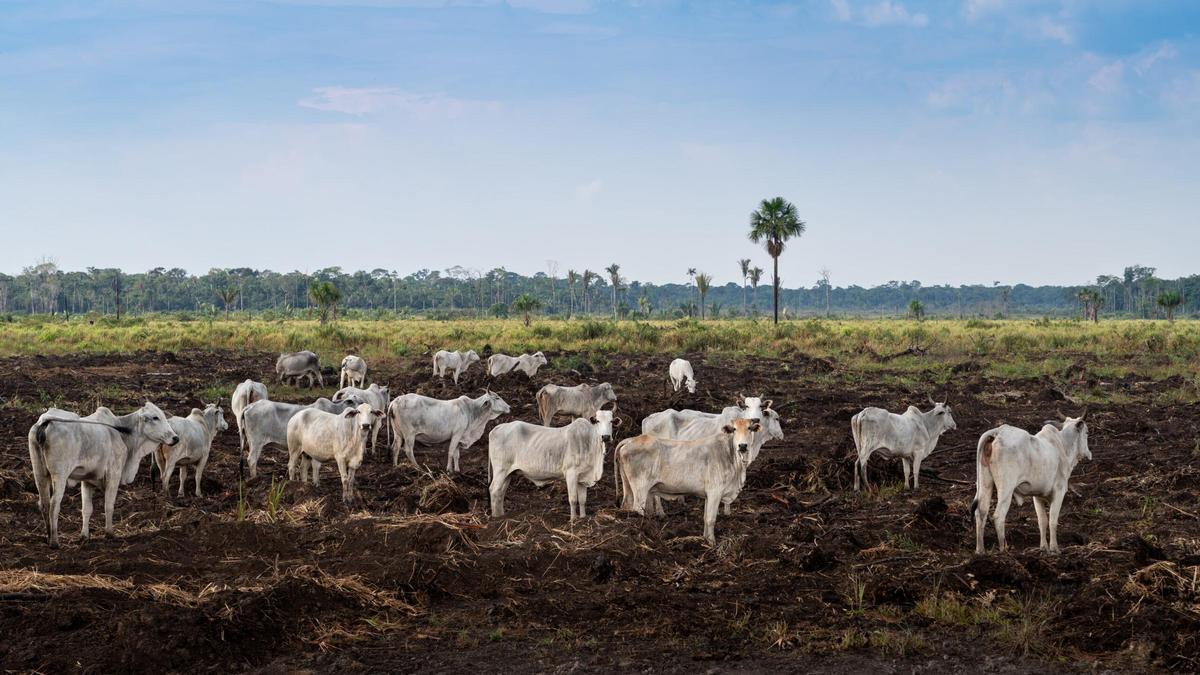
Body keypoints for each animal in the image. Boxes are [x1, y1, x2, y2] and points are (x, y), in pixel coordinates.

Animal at [28, 401, 178, 542]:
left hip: (39, 473)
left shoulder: (87, 480)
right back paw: (54, 542)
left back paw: (48, 537)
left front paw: (84, 536)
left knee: (44, 504)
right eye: (155, 417)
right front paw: (109, 533)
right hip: (60, 476)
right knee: (54, 505)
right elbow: (109, 505)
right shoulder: (114, 474)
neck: (122, 433)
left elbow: (87, 509)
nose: (175, 438)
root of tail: (45, 421)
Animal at [487, 408, 619, 516]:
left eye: (611, 421)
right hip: (500, 470)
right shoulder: (571, 473)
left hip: (508, 473)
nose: (606, 437)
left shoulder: (582, 477)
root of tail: (497, 428)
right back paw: (496, 518)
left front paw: (582, 518)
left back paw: (501, 516)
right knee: (494, 490)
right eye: (597, 421)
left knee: (500, 492)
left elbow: (582, 501)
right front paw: (573, 520)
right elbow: (573, 499)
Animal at [619, 417, 758, 542]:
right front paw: (712, 543)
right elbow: (711, 519)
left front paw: (705, 539)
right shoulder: (715, 492)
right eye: (734, 429)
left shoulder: (708, 495)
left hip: (629, 488)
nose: (743, 445)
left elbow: (705, 518)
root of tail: (632, 440)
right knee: (638, 510)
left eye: (749, 428)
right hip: (640, 489)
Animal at [969, 413, 1094, 554]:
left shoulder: (1037, 496)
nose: (1089, 454)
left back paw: (980, 550)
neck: (1063, 445)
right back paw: (1003, 549)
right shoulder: (1059, 491)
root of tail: (997, 432)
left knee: (981, 512)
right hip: (1006, 488)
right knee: (998, 516)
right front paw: (1054, 548)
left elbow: (1042, 521)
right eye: (1087, 432)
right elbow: (1053, 521)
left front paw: (1044, 547)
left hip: (985, 482)